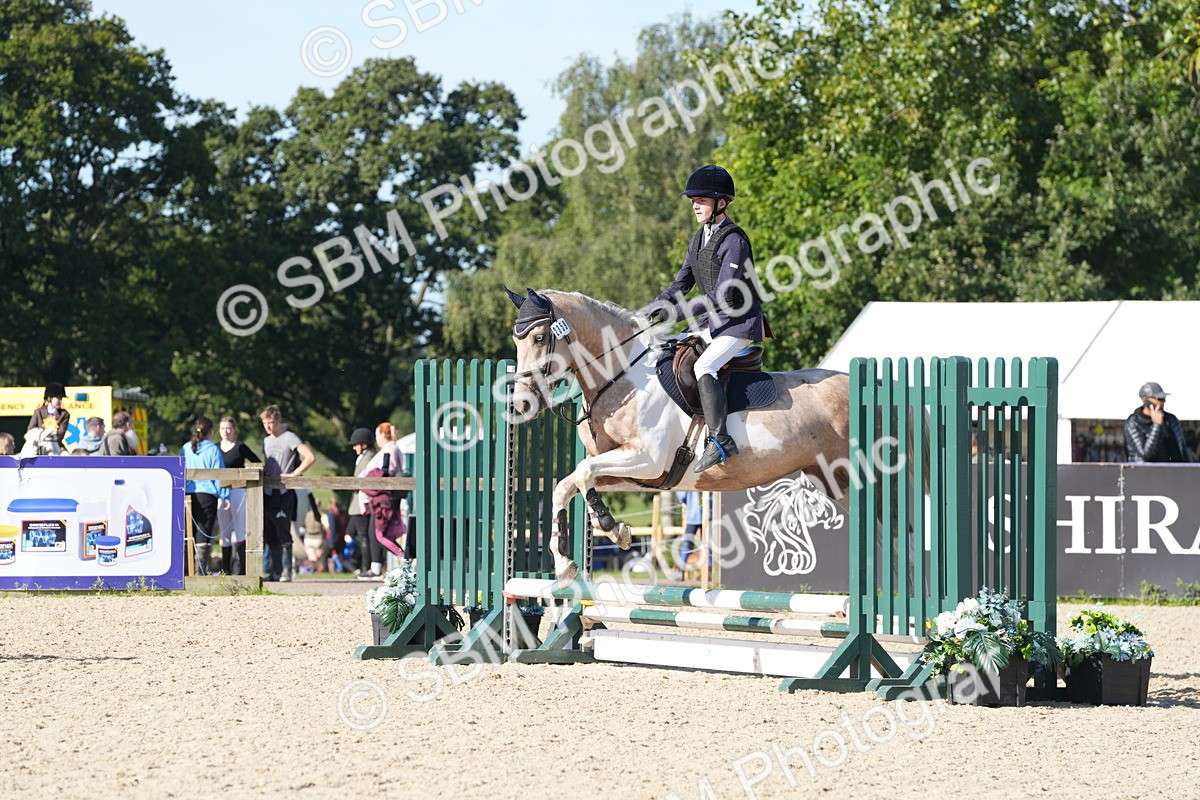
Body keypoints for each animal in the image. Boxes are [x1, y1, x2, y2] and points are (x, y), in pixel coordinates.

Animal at [506, 288, 852, 582]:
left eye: (539, 338)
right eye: (516, 341)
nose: (521, 403)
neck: (622, 377)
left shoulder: (647, 460)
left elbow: (582, 472)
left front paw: (610, 526)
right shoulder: (629, 470)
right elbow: (569, 483)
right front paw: (570, 559)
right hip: (831, 479)